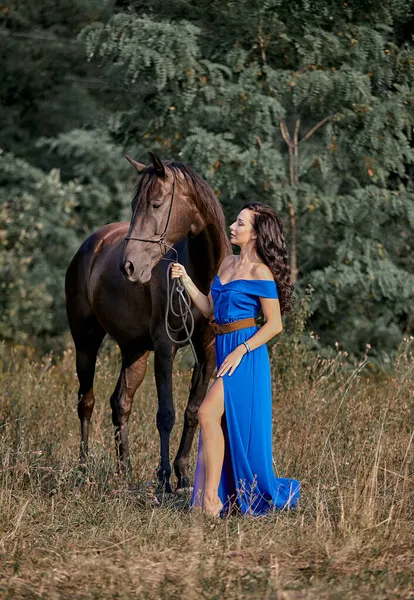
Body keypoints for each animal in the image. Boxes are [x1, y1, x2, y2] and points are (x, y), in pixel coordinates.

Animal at [66, 151, 231, 492]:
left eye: (156, 204)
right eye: (133, 205)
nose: (129, 266)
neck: (200, 276)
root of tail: (91, 244)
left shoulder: (206, 348)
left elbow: (192, 410)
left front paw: (183, 475)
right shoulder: (165, 347)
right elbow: (165, 414)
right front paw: (164, 477)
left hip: (134, 350)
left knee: (120, 403)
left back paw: (124, 471)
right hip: (86, 341)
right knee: (86, 402)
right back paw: (83, 468)